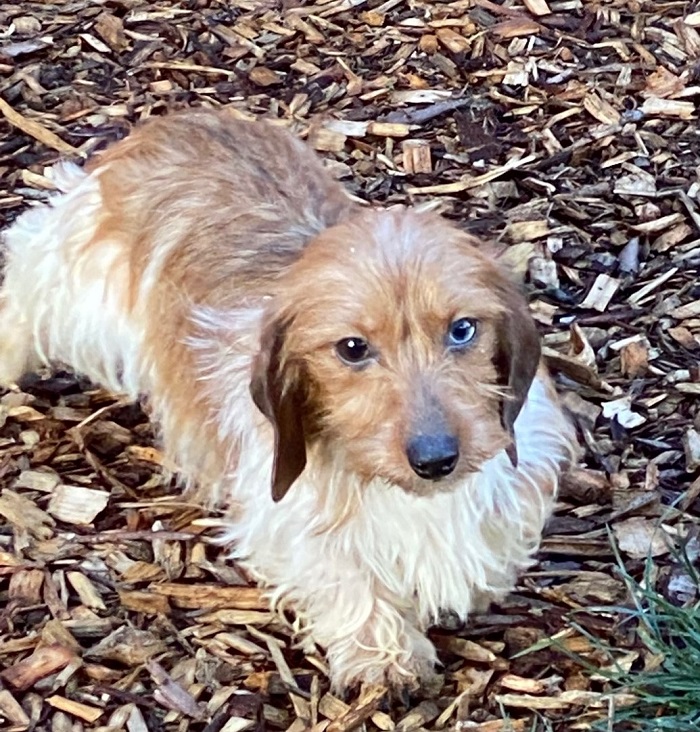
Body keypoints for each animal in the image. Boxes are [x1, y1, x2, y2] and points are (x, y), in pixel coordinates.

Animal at [0, 107, 576, 692]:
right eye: (352, 348)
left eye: (462, 330)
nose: (436, 460)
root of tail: (180, 118)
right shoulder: (283, 512)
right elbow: (343, 574)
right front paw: (385, 652)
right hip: (75, 296)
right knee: (23, 269)